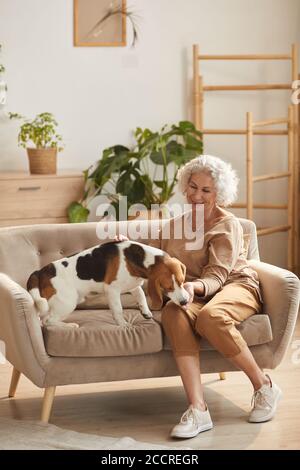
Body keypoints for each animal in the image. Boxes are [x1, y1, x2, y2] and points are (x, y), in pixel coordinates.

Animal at [27, 242, 189, 326]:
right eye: (168, 287)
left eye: (182, 282)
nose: (184, 302)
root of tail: (40, 271)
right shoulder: (112, 290)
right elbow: (118, 310)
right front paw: (123, 324)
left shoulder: (134, 285)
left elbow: (141, 296)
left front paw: (146, 312)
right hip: (67, 302)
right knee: (48, 321)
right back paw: (69, 326)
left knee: (45, 319)